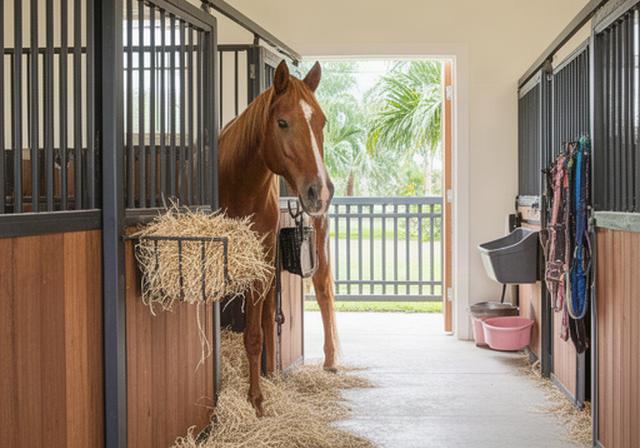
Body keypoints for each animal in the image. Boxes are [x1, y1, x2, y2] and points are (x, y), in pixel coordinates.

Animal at [218, 60, 337, 416]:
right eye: (282, 122)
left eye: (322, 121)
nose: (320, 191)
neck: (240, 185)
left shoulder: (259, 264)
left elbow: (255, 335)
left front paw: (256, 401)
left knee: (322, 290)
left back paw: (328, 361)